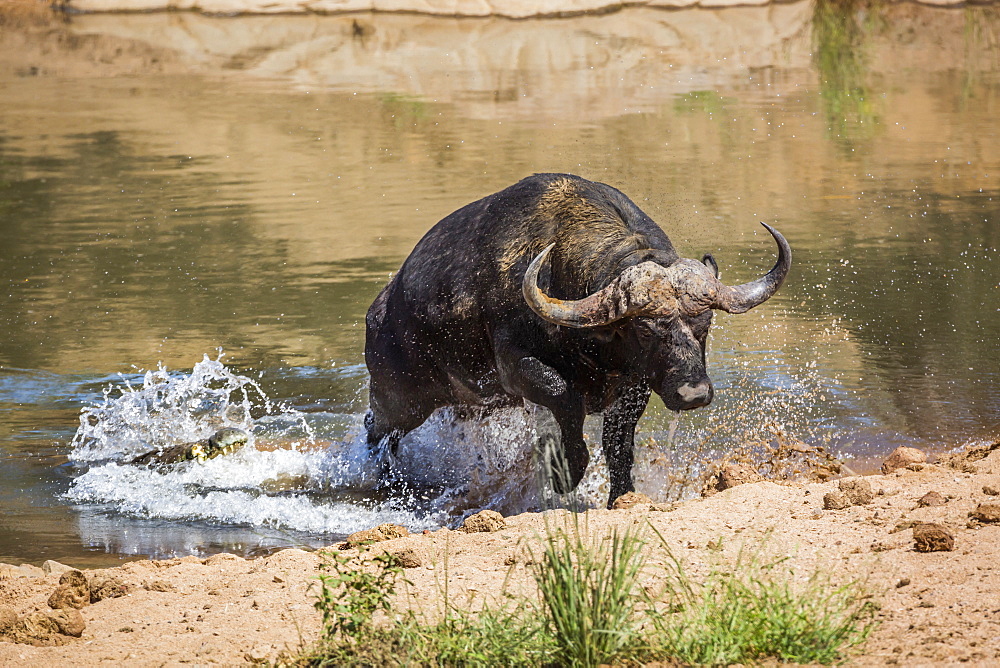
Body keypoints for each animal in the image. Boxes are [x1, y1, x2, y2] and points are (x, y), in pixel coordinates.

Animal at [364, 172, 792, 506]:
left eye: (705, 323)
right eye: (644, 329)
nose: (694, 394)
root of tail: (382, 308)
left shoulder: (634, 385)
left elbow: (618, 448)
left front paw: (622, 496)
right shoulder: (516, 367)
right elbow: (564, 398)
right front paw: (562, 473)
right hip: (400, 398)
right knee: (377, 431)